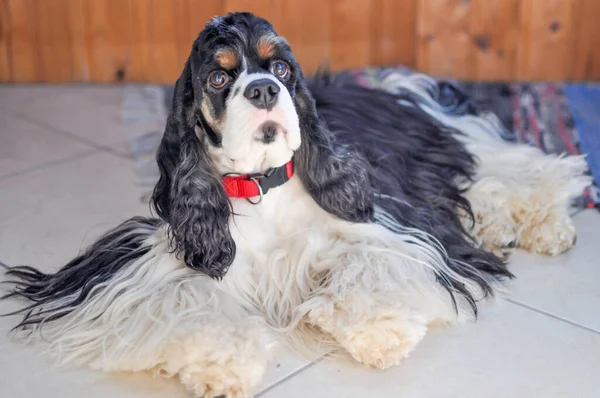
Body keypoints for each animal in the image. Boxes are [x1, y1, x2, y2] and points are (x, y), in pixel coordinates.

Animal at [1, 11, 592, 398]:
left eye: (281, 68)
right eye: (219, 75)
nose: (264, 89)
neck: (261, 186)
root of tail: (385, 81)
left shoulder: (390, 229)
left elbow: (367, 267)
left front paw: (379, 333)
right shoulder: (145, 267)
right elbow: (191, 300)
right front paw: (223, 362)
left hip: (455, 140)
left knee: (522, 167)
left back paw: (548, 226)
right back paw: (500, 226)